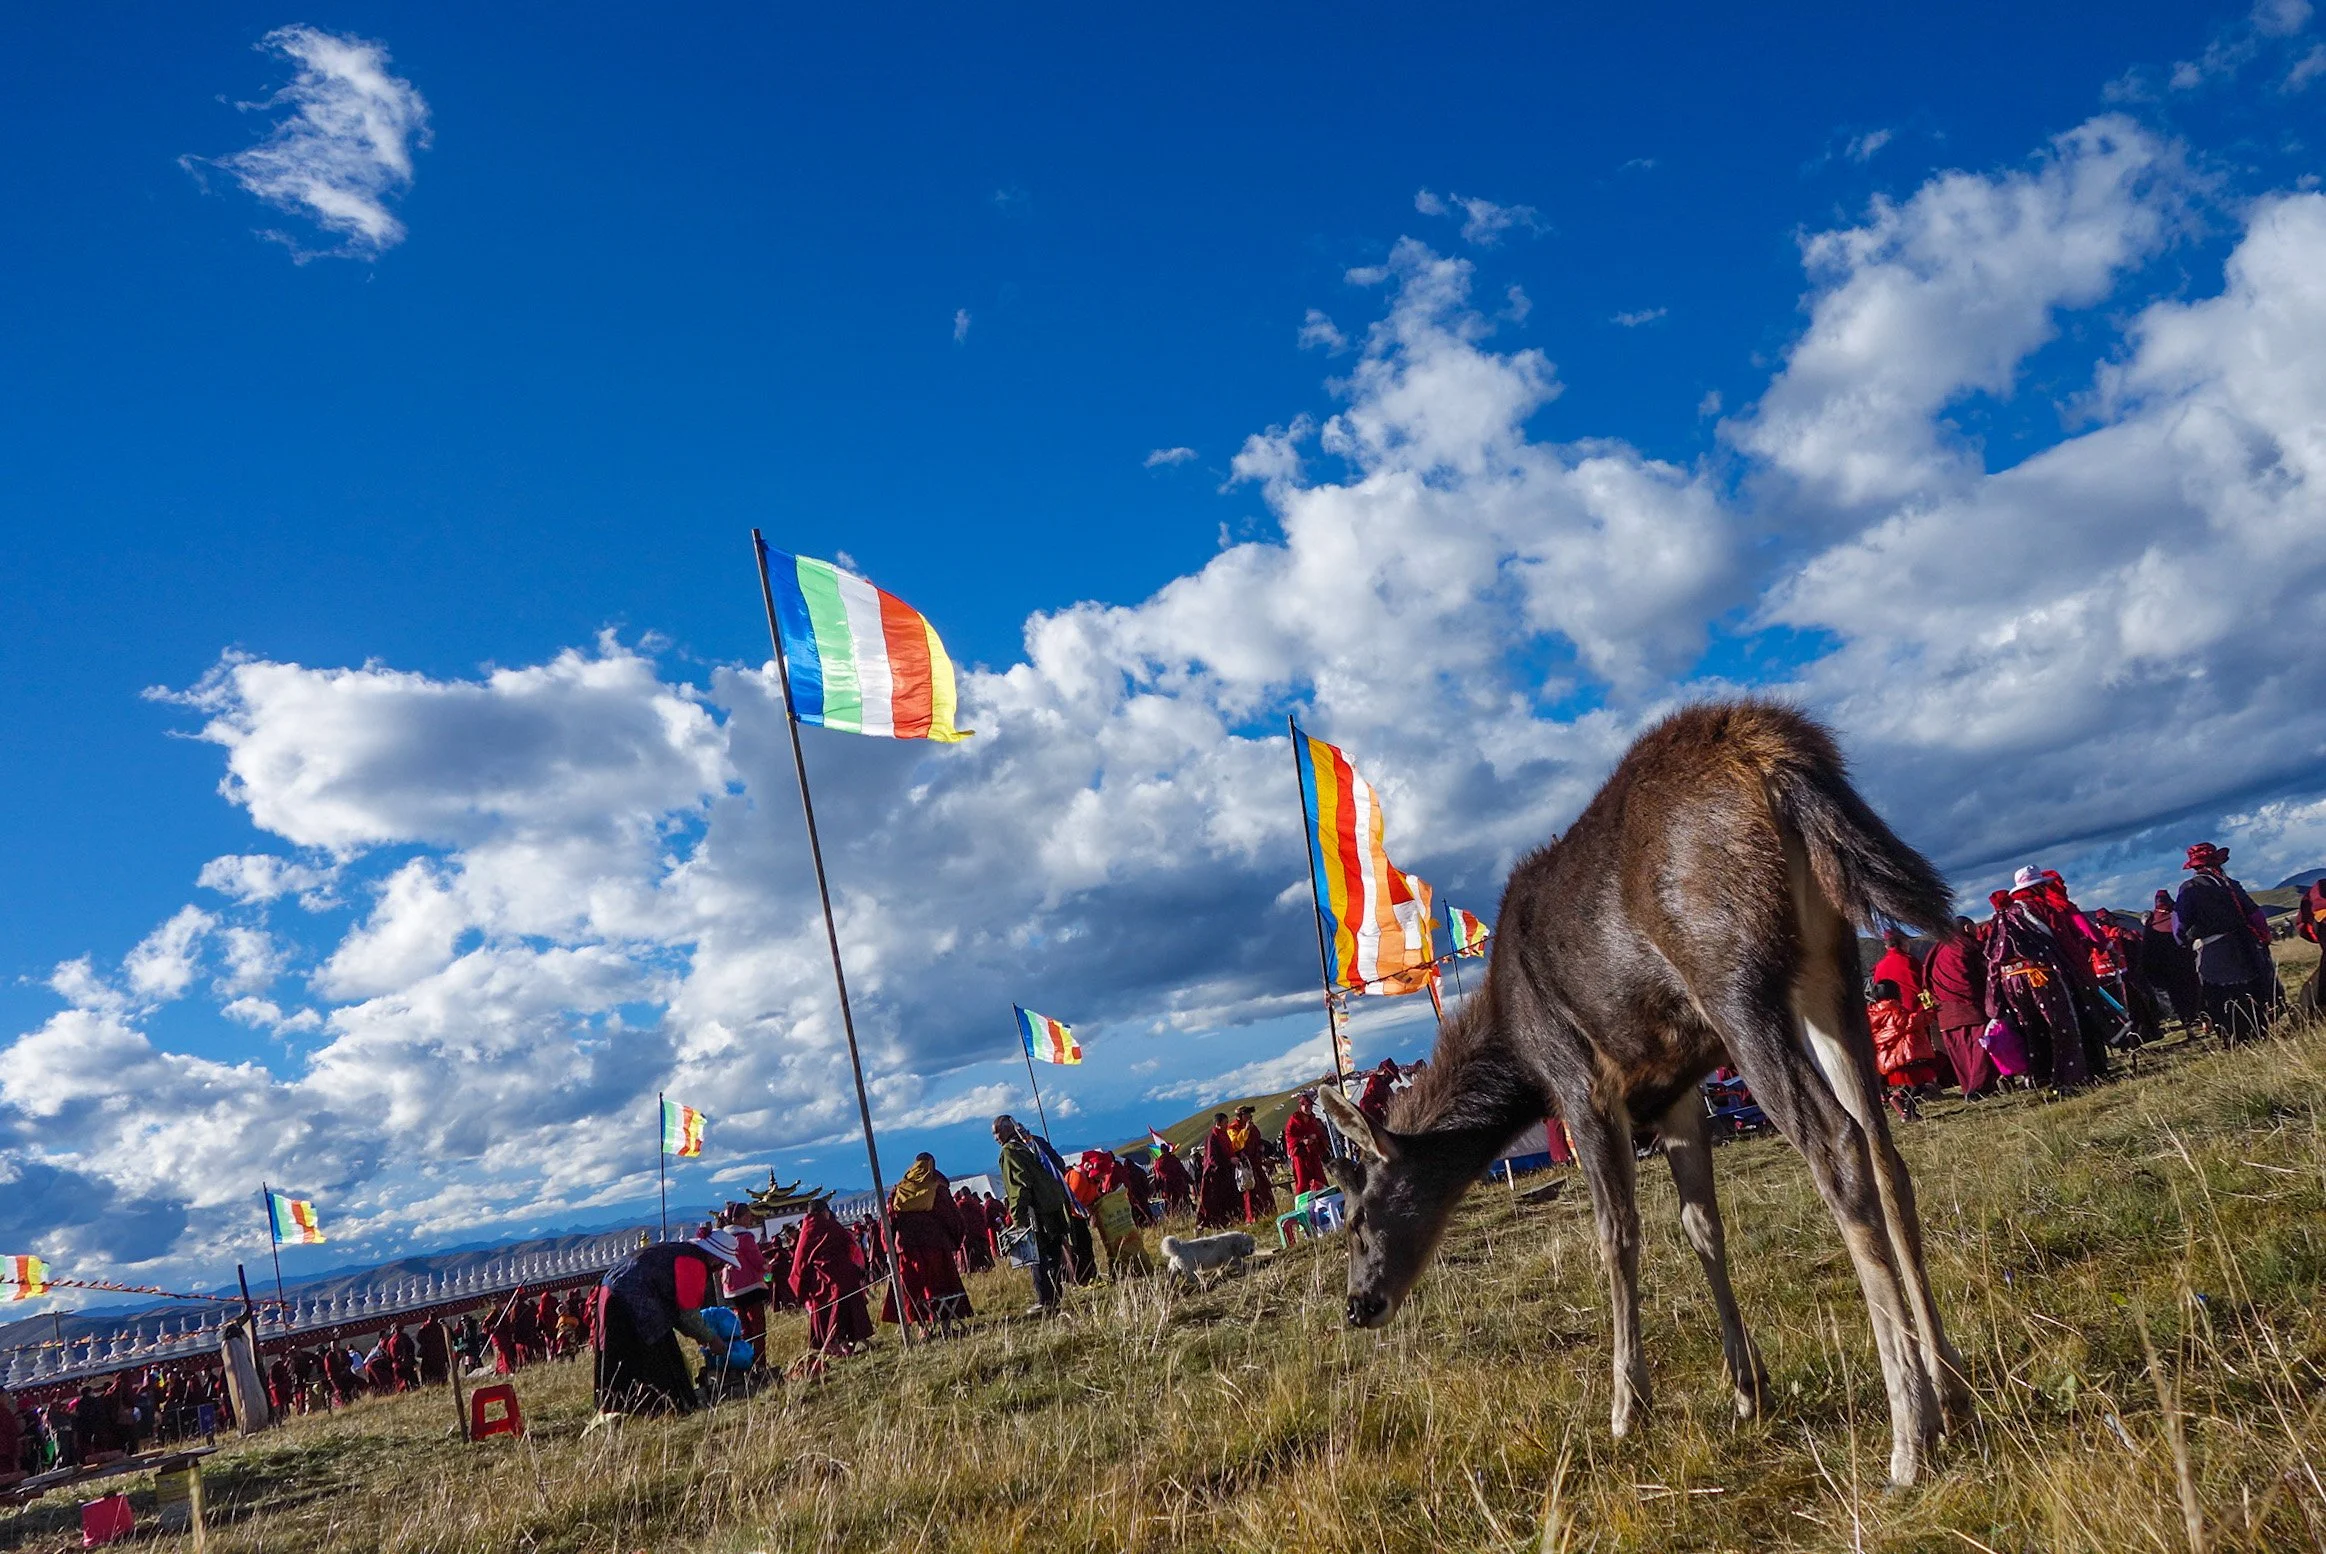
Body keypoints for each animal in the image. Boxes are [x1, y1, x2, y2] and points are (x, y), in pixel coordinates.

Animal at [1318, 700, 1971, 1487]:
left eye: (1357, 1219)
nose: (1358, 1306)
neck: (1516, 1051)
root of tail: (1776, 756)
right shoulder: (1679, 1091)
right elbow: (1700, 1226)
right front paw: (1748, 1386)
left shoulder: (1582, 1083)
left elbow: (1615, 1233)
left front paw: (1628, 1404)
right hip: (1831, 966)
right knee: (1885, 1150)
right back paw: (1952, 1386)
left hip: (1734, 978)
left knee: (1839, 1145)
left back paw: (1910, 1428)